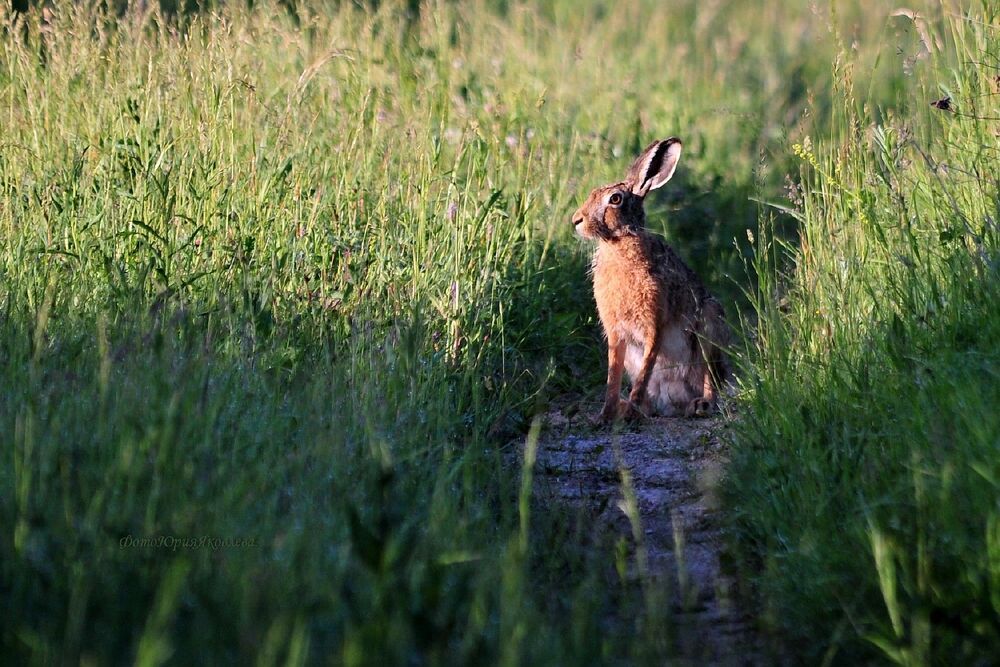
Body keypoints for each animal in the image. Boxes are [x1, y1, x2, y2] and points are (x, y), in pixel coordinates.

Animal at [571, 137, 729, 422]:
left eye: (615, 199)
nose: (576, 220)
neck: (618, 245)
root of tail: (674, 400)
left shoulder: (654, 324)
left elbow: (645, 370)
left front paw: (628, 412)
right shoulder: (616, 333)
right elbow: (612, 375)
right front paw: (606, 415)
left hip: (709, 330)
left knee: (708, 376)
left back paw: (699, 405)